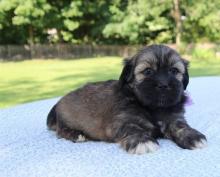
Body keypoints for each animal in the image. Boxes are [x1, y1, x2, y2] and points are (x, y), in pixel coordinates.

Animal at [46, 45, 206, 154]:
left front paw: (192, 135)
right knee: (60, 130)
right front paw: (142, 141)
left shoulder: (174, 118)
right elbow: (132, 128)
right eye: (147, 71)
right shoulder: (122, 121)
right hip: (65, 120)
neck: (153, 108)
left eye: (174, 71)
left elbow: (180, 126)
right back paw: (76, 134)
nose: (163, 84)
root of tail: (58, 103)